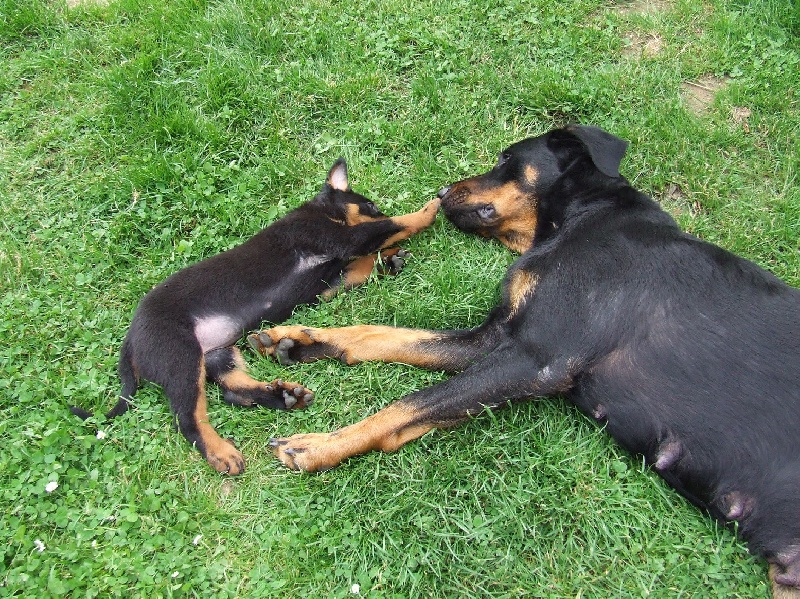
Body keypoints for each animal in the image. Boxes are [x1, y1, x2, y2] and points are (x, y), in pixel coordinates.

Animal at [72, 161, 440, 478]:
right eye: (370, 205)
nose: (379, 208)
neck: (322, 213)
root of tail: (130, 341)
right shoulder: (339, 239)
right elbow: (393, 226)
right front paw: (430, 208)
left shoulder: (330, 281)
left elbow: (363, 265)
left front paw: (388, 262)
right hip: (180, 357)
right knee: (188, 417)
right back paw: (222, 453)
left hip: (217, 353)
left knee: (231, 390)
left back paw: (284, 396)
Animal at [247, 126, 796, 596]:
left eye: (507, 160)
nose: (442, 191)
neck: (582, 219)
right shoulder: (495, 337)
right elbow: (386, 337)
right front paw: (301, 339)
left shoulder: (536, 358)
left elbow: (409, 402)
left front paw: (320, 444)